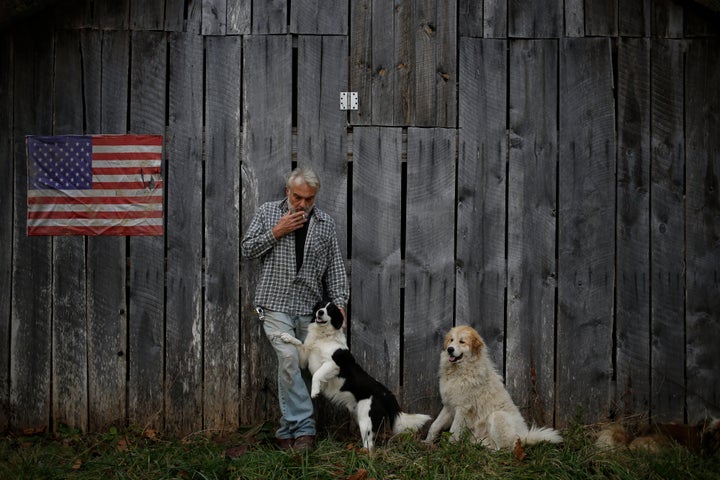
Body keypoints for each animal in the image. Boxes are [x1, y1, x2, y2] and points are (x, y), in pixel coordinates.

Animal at [280, 302, 428, 452]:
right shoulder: (305, 360)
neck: (323, 336)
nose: (320, 312)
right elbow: (300, 344)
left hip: (365, 420)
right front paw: (287, 337)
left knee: (369, 446)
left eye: (331, 309)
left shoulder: (333, 365)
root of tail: (386, 394)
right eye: (320, 306)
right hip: (361, 417)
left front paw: (315, 391)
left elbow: (317, 374)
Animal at [422, 324, 564, 448]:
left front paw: (449, 448)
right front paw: (427, 443)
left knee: (505, 448)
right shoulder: (449, 406)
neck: (461, 370)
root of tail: (524, 437)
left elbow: (454, 431)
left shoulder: (463, 409)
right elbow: (434, 426)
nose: (450, 349)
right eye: (451, 340)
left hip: (497, 416)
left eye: (462, 342)